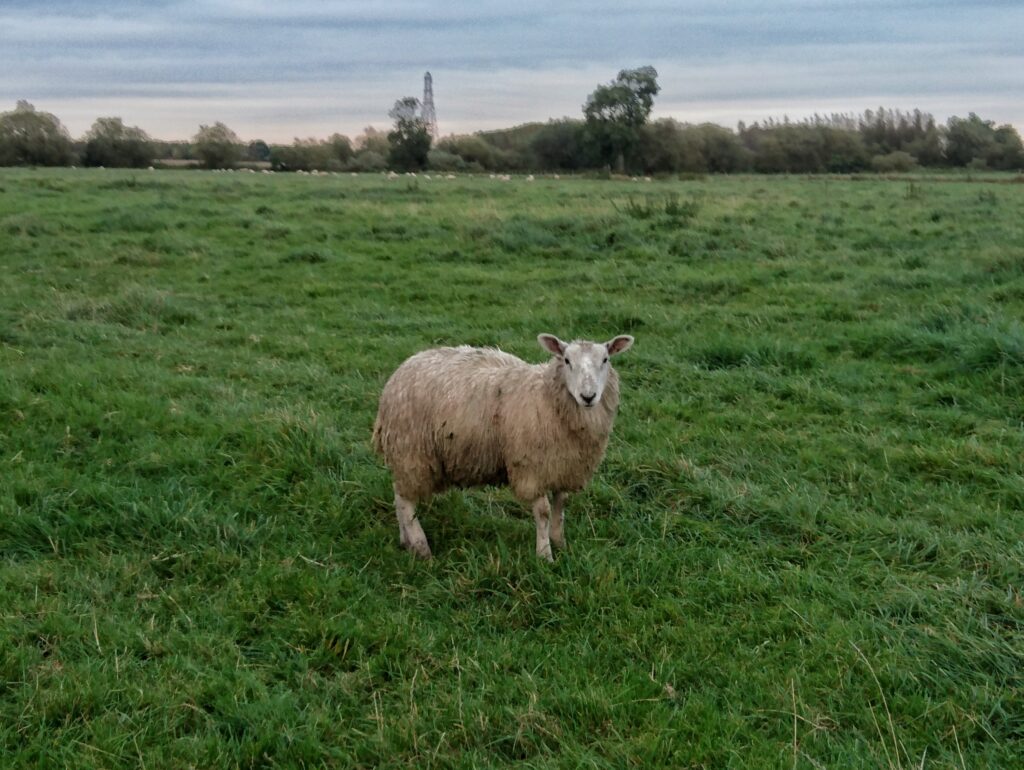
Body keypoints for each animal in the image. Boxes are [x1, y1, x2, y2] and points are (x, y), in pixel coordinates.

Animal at [372, 333, 634, 561]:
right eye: (567, 361)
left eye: (605, 360)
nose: (588, 396)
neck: (547, 397)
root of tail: (401, 371)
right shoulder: (532, 469)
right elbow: (543, 512)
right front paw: (545, 555)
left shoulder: (565, 467)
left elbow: (560, 506)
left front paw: (560, 544)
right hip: (411, 450)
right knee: (405, 501)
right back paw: (420, 546)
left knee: (398, 494)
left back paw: (405, 540)